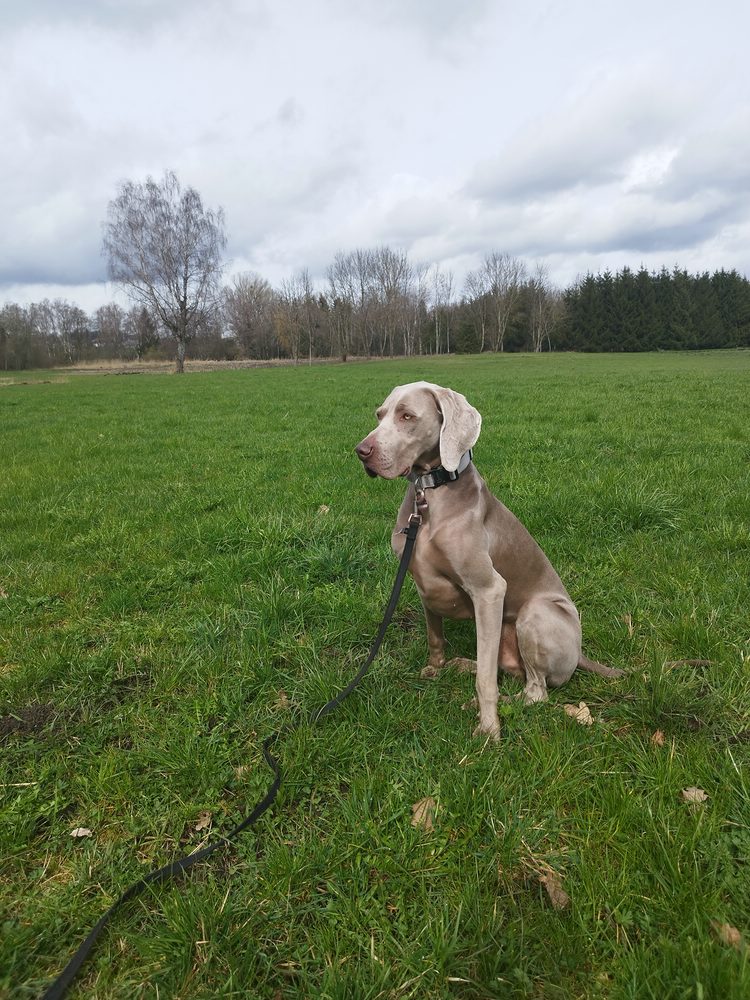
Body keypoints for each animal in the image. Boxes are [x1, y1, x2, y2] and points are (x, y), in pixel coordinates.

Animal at [356, 378, 624, 740]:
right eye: (379, 414)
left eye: (407, 416)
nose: (361, 451)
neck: (430, 495)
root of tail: (580, 655)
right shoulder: (422, 585)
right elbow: (435, 637)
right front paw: (437, 668)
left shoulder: (489, 590)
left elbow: (486, 680)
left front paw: (488, 727)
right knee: (502, 666)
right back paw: (463, 665)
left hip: (535, 614)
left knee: (534, 690)